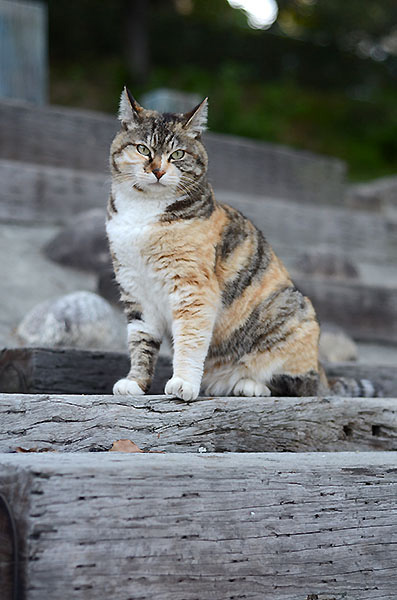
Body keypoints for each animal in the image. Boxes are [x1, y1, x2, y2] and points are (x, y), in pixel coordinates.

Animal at [106, 88, 374, 398]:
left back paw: (248, 385)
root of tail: (324, 376)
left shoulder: (194, 290)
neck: (143, 212)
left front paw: (184, 383)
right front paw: (135, 382)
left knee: (299, 385)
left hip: (295, 314)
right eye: (143, 149)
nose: (158, 171)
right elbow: (141, 340)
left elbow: (190, 339)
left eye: (178, 154)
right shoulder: (135, 288)